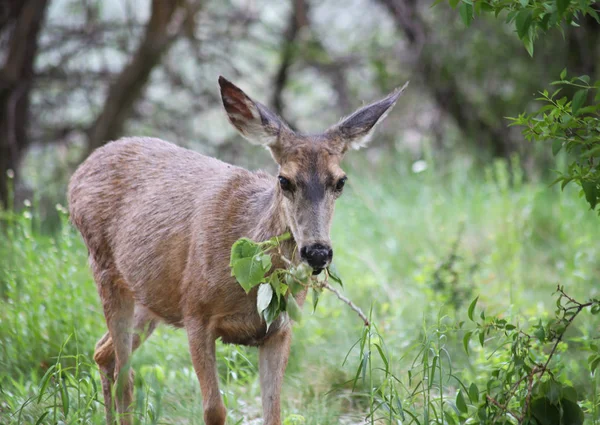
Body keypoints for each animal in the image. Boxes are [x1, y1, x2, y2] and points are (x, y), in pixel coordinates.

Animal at [67, 77, 408, 424]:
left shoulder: (279, 328)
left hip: (150, 296)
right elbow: (214, 409)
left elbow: (274, 412)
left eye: (340, 181)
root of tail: (80, 171)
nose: (317, 253)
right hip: (104, 267)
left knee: (104, 352)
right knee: (124, 377)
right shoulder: (196, 312)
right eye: (284, 180)